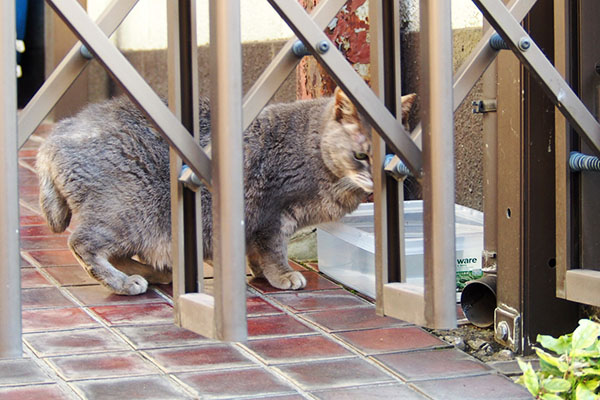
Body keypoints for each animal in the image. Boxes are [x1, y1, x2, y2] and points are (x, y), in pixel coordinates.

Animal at [35, 88, 414, 294]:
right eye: (361, 155)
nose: (375, 178)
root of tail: (54, 136)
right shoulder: (272, 213)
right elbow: (274, 250)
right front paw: (283, 275)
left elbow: (256, 253)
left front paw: (261, 273)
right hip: (128, 212)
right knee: (82, 244)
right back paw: (126, 282)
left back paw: (153, 273)